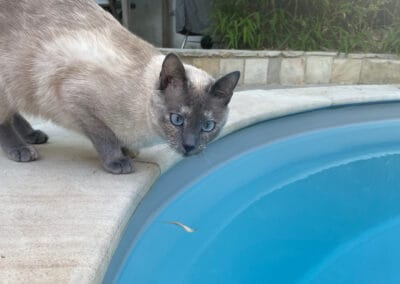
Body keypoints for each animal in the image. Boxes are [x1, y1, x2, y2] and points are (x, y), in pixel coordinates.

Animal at [0, 0, 239, 174]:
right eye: (177, 120)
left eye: (208, 126)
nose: (190, 147)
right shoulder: (77, 100)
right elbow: (105, 137)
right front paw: (118, 160)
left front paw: (128, 151)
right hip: (8, 82)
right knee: (5, 119)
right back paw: (21, 149)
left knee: (14, 112)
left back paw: (32, 135)